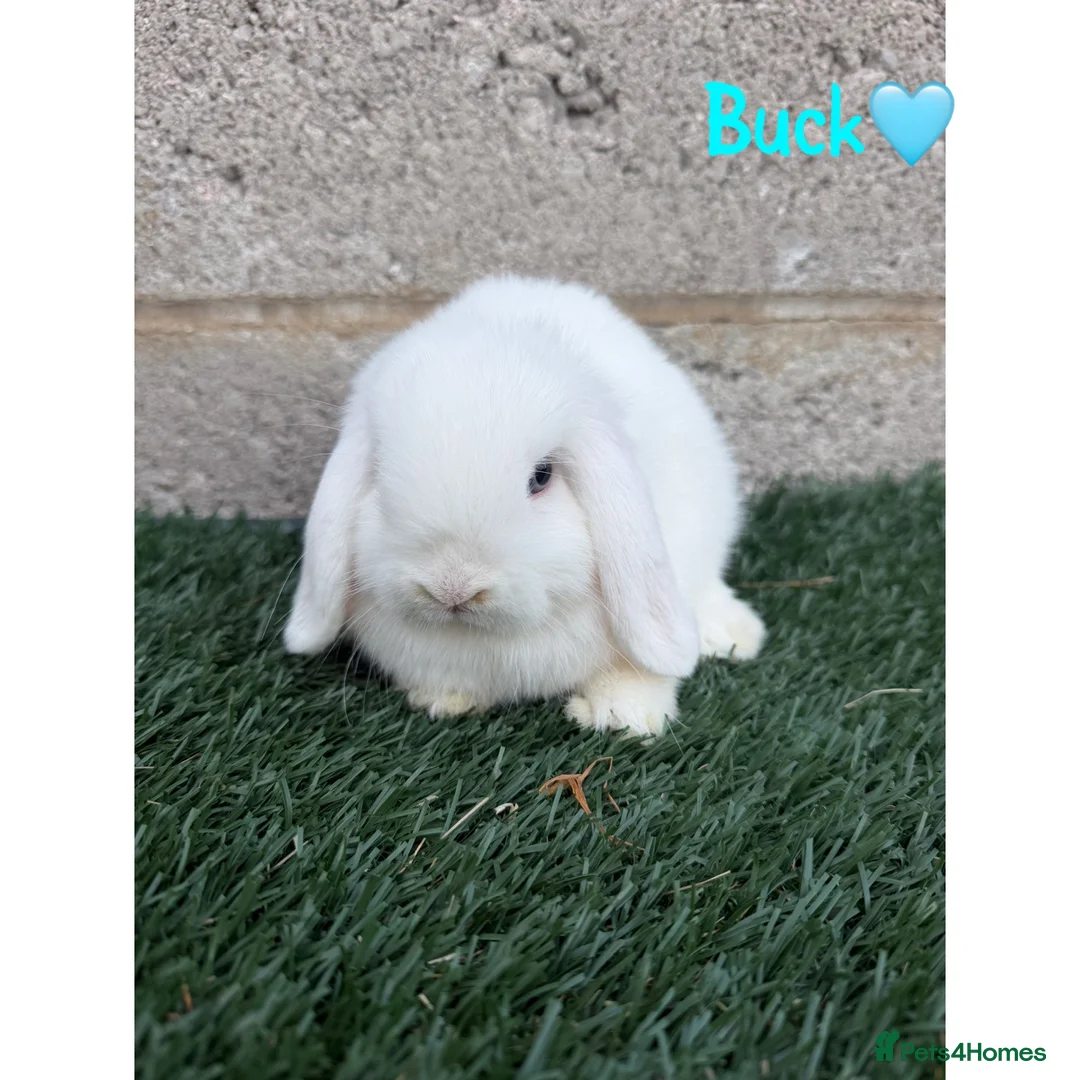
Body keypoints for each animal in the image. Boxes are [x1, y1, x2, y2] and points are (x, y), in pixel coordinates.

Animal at [284, 275, 765, 736]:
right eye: (380, 472)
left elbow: (639, 673)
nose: (452, 587)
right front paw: (443, 700)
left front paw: (623, 717)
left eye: (542, 476)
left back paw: (733, 635)